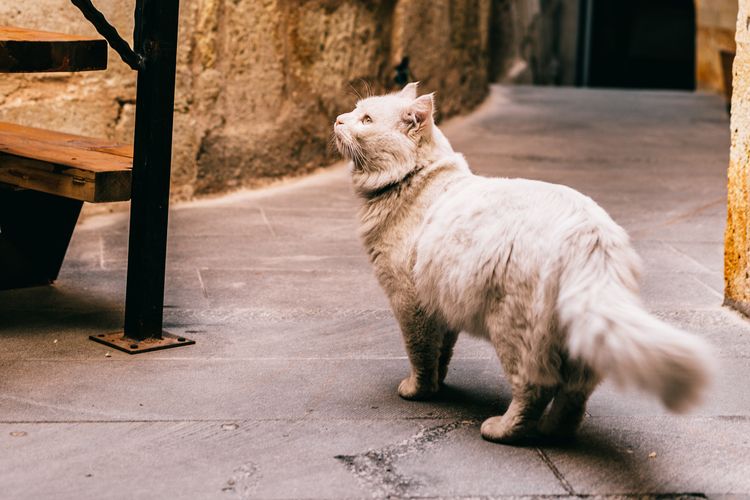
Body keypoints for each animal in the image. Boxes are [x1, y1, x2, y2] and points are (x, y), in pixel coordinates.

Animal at [334, 83, 716, 446]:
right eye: (353, 111)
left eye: (365, 120)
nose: (338, 120)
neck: (416, 180)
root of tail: (589, 232)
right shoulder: (441, 305)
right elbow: (443, 353)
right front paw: (440, 386)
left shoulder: (410, 303)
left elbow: (422, 354)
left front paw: (419, 391)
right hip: (573, 342)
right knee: (574, 394)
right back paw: (554, 432)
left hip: (514, 332)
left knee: (535, 390)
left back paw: (501, 430)